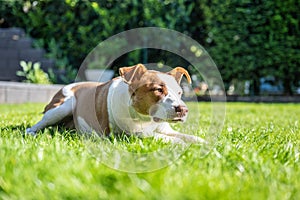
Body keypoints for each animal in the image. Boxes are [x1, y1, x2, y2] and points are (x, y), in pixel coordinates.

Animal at [26, 64, 204, 144]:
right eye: (158, 89)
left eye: (179, 93)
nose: (183, 110)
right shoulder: (131, 134)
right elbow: (162, 137)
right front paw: (181, 144)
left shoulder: (166, 129)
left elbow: (189, 136)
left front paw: (202, 142)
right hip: (64, 105)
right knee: (37, 124)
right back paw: (32, 133)